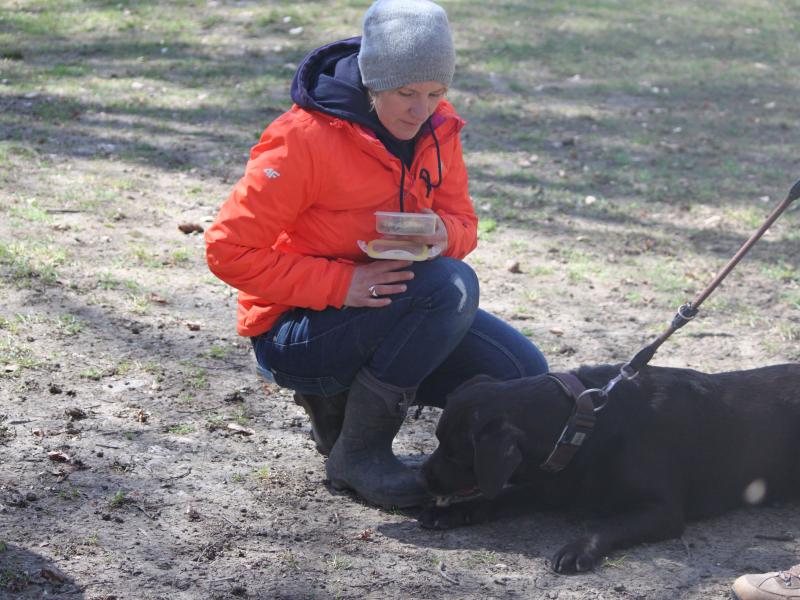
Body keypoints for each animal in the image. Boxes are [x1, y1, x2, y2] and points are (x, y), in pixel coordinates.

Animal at [418, 364, 800, 576]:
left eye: (455, 453)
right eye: (438, 441)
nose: (423, 477)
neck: (581, 425)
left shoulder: (662, 510)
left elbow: (608, 525)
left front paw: (578, 549)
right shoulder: (551, 486)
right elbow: (496, 499)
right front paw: (453, 513)